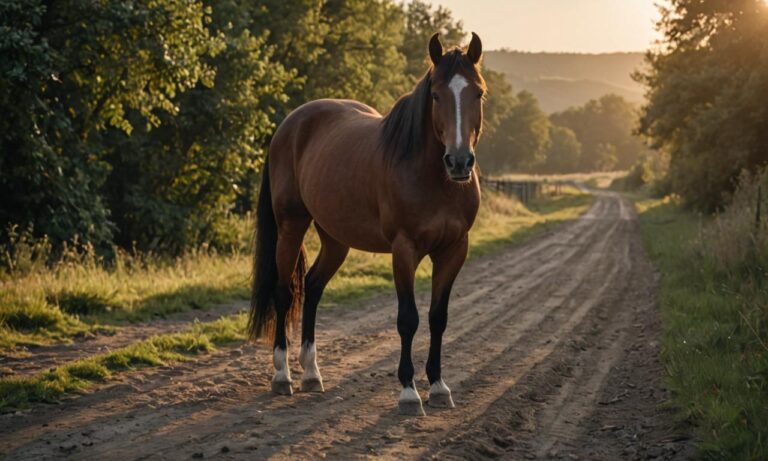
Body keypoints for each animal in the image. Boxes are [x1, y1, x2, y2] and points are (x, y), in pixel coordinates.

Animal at [248, 31, 486, 414]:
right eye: (436, 94)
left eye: (478, 92)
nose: (460, 161)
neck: (432, 176)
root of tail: (288, 125)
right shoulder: (404, 250)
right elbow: (408, 319)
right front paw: (408, 392)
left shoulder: (454, 250)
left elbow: (438, 318)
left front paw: (438, 386)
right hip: (290, 226)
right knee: (284, 293)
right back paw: (282, 376)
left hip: (335, 238)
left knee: (313, 287)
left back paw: (311, 373)